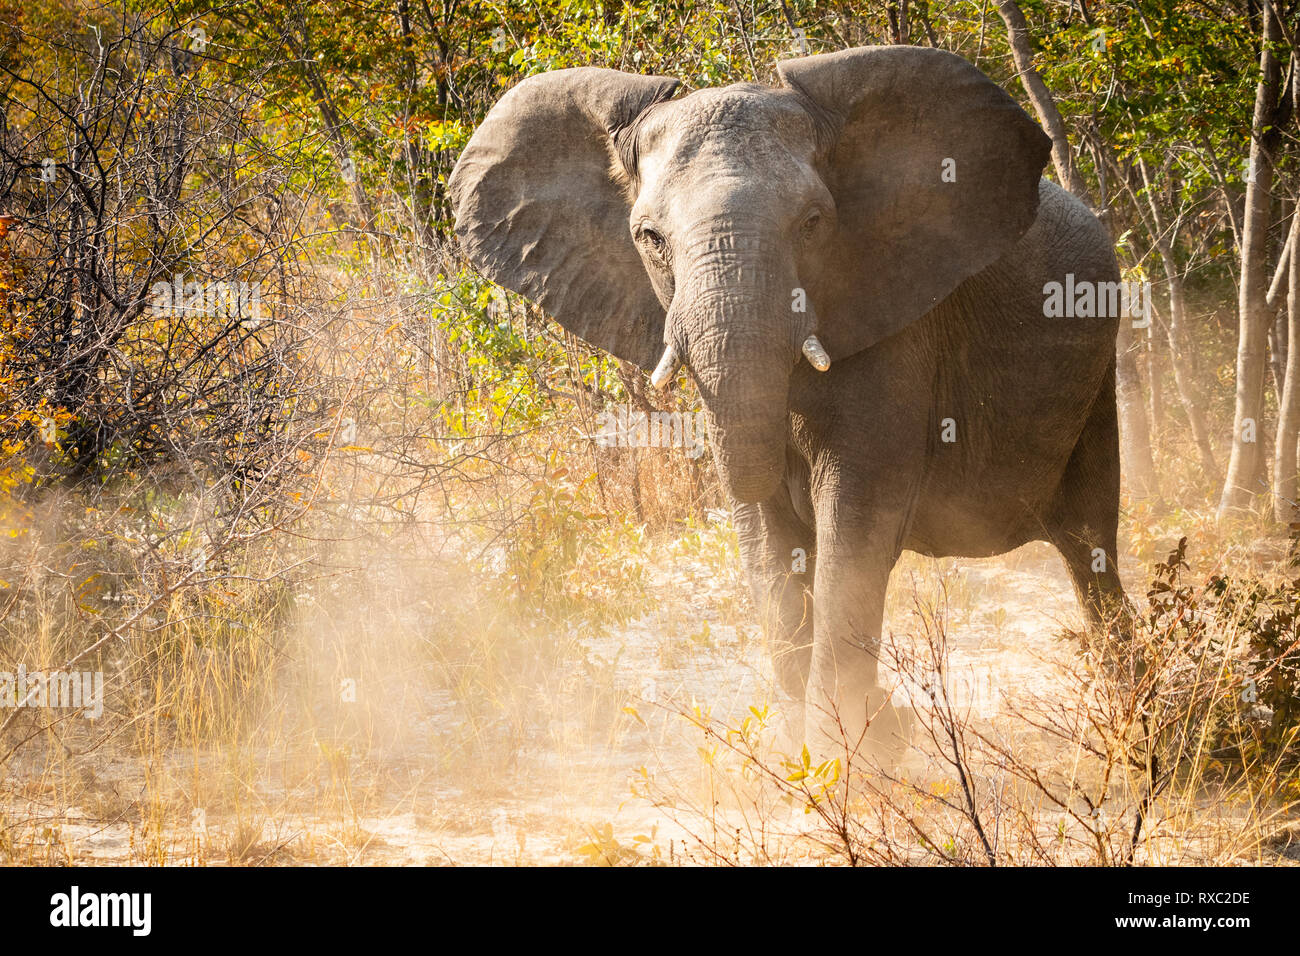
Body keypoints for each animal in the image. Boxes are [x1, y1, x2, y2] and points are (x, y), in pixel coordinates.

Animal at [452, 44, 1133, 764]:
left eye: (812, 224)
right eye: (649, 238)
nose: (895, 716)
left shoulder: (900, 323)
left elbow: (855, 526)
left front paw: (846, 764)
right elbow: (768, 546)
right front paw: (806, 766)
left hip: (1098, 370)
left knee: (1090, 544)